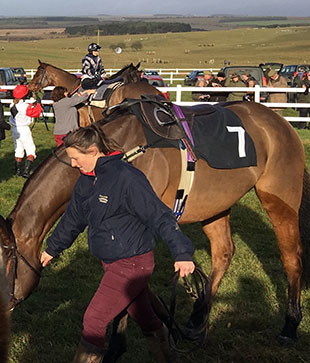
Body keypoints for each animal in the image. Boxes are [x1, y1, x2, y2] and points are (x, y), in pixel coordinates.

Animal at [0, 84, 310, 348]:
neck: (119, 151)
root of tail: (278, 121)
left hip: (279, 200)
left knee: (291, 256)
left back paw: (290, 325)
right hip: (216, 204)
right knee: (224, 252)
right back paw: (198, 318)